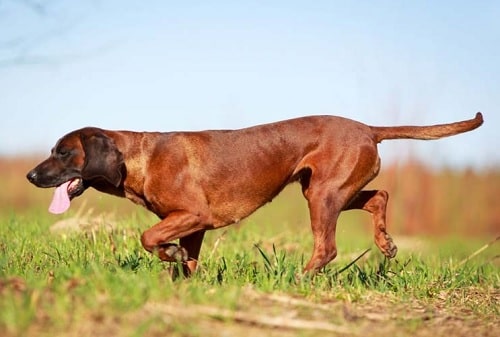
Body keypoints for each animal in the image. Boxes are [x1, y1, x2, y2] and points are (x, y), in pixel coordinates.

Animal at [26, 111, 484, 274]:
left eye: (63, 152)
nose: (30, 175)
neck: (138, 156)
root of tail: (368, 128)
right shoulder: (193, 227)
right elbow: (185, 260)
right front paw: (182, 280)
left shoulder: (192, 216)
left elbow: (149, 237)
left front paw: (168, 254)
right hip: (326, 189)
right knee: (380, 196)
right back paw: (386, 243)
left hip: (323, 196)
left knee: (327, 248)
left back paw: (296, 280)